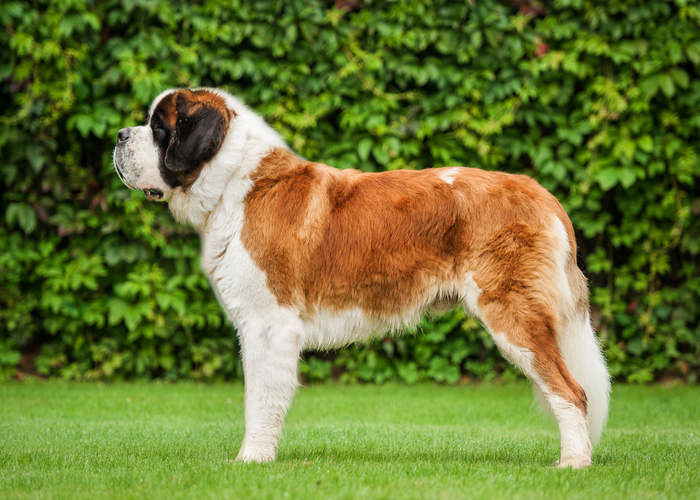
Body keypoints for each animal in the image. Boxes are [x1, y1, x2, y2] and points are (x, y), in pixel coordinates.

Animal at [112, 88, 608, 466]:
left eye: (160, 128)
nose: (119, 135)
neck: (234, 181)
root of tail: (538, 191)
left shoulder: (268, 325)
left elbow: (260, 400)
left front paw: (251, 460)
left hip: (513, 315)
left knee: (572, 392)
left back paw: (572, 464)